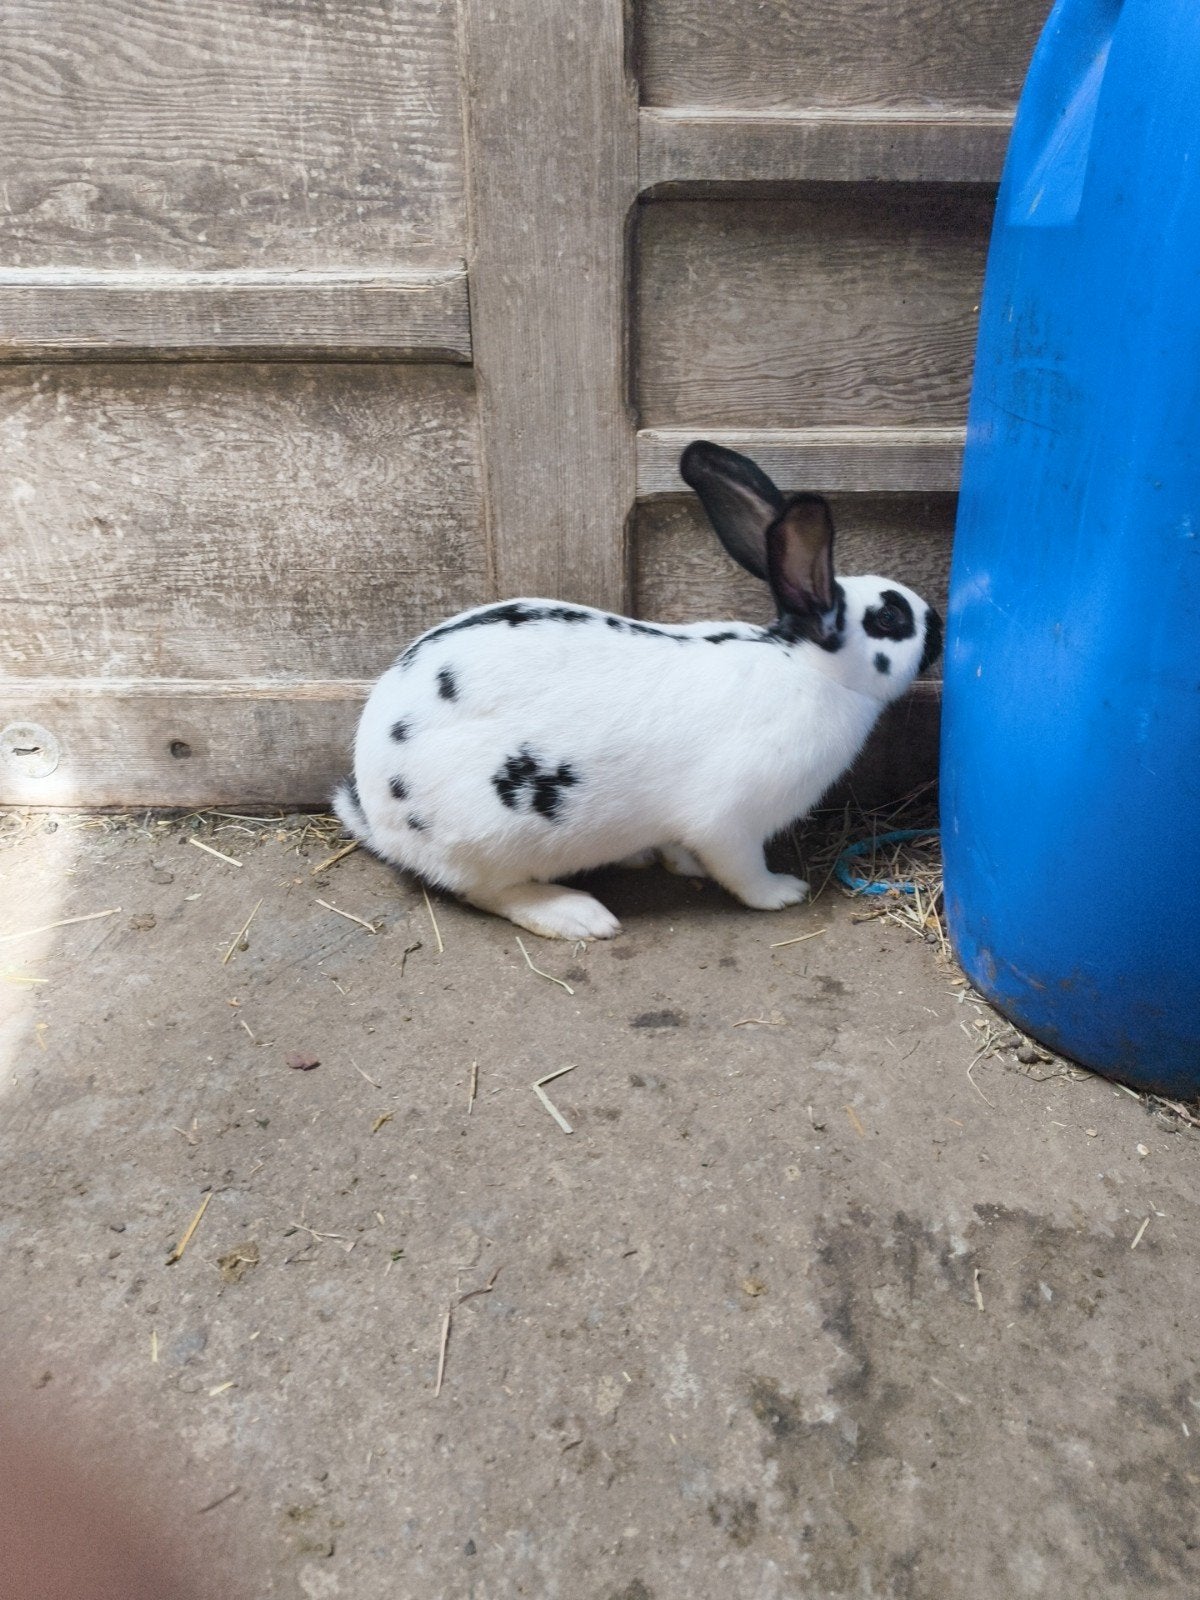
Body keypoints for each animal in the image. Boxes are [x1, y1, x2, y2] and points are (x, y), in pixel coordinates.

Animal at [332, 440, 942, 940]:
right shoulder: (731, 822)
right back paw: (577, 915)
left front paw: (679, 862)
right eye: (891, 617)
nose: (938, 623)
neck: (809, 667)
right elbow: (741, 870)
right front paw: (781, 893)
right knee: (488, 891)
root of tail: (379, 813)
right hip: (489, 836)